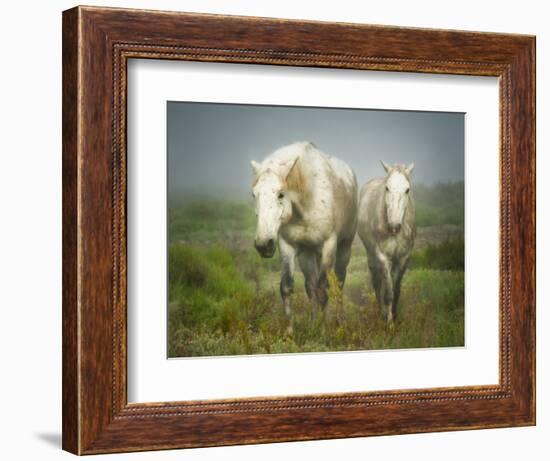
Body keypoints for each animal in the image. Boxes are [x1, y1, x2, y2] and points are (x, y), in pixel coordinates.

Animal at [252, 140, 360, 312]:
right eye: (254, 194)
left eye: (280, 194)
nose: (263, 244)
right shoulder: (287, 245)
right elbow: (287, 288)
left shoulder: (329, 245)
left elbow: (323, 291)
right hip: (307, 253)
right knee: (311, 287)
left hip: (344, 247)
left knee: (339, 284)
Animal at [358, 160, 418, 326]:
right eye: (387, 188)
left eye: (407, 190)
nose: (394, 227)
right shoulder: (383, 257)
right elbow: (388, 293)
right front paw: (389, 324)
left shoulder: (404, 257)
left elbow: (396, 291)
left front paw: (395, 317)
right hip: (371, 254)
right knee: (377, 284)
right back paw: (381, 313)